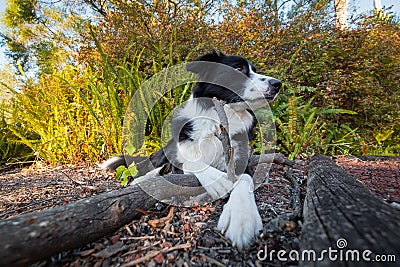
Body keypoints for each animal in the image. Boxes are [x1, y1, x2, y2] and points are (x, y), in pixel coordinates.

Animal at [101, 51, 282, 249]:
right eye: (239, 68)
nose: (277, 84)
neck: (217, 123)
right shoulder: (180, 152)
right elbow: (189, 161)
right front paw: (218, 180)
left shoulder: (241, 157)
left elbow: (244, 180)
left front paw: (242, 218)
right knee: (154, 167)